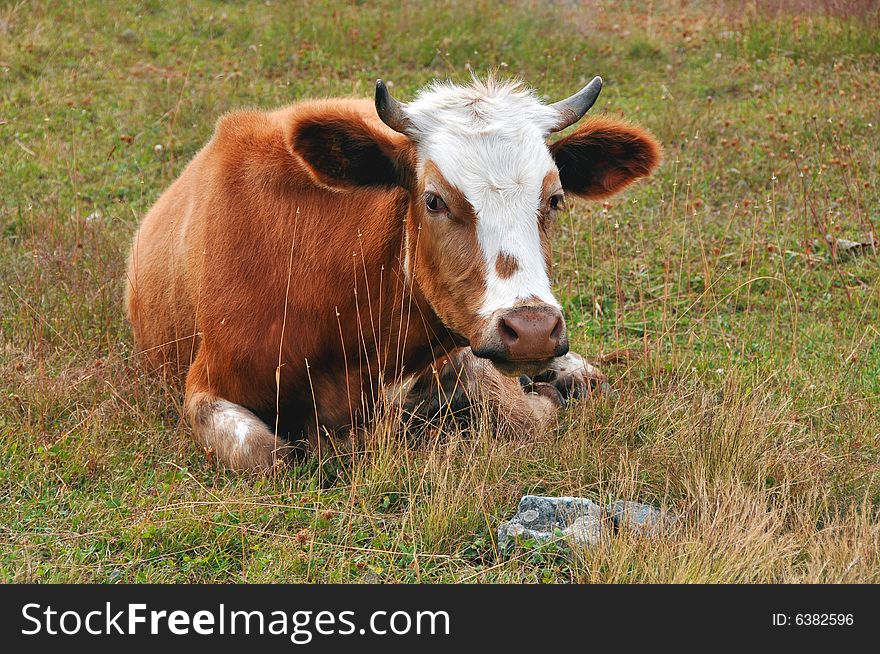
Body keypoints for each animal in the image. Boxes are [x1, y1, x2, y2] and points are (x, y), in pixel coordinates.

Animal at [125, 74, 660, 468]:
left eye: (555, 198)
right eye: (433, 199)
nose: (532, 330)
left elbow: (519, 410)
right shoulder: (206, 384)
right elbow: (268, 455)